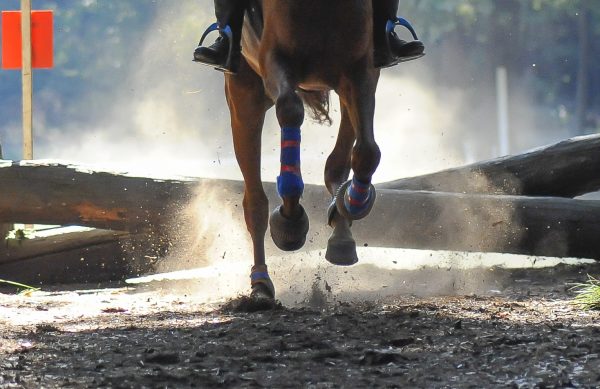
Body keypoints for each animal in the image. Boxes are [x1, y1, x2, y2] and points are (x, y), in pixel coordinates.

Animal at [223, 0, 382, 302]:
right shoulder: (274, 61)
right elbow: (289, 109)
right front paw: (289, 221)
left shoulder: (361, 71)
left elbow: (368, 151)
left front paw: (354, 202)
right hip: (244, 93)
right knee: (254, 201)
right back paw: (260, 283)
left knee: (337, 163)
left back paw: (341, 234)